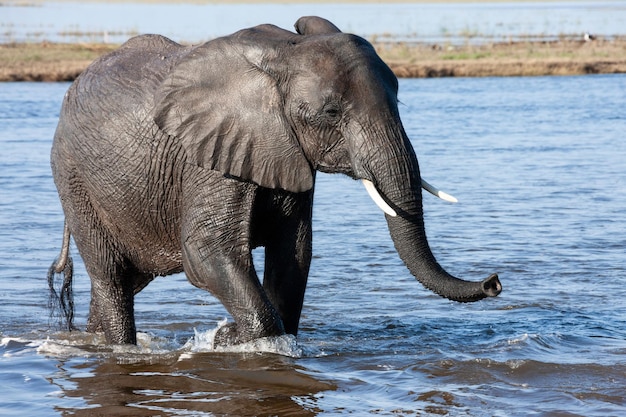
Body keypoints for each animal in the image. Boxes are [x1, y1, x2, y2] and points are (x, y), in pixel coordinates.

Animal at [46, 15, 500, 344]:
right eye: (331, 113)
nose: (494, 281)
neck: (282, 55)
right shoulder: (209, 160)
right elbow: (206, 252)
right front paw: (228, 338)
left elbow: (294, 253)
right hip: (73, 178)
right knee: (111, 279)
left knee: (120, 283)